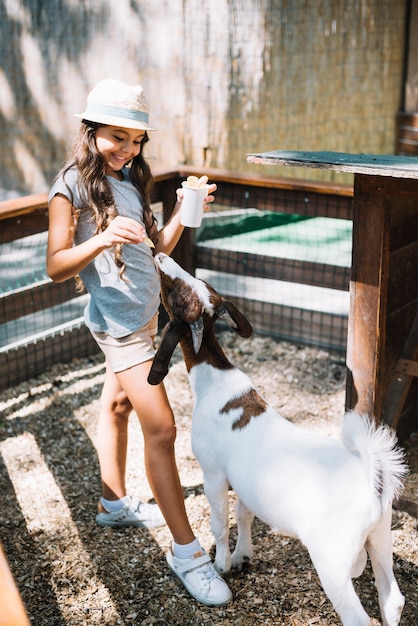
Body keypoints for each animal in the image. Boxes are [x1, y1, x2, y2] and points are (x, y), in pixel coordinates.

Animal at [149, 251, 406, 620]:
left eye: (174, 291)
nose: (159, 255)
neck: (216, 382)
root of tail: (370, 475)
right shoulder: (244, 482)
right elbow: (243, 513)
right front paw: (242, 557)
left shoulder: (212, 472)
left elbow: (219, 521)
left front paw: (223, 564)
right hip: (381, 533)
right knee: (393, 598)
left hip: (331, 557)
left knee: (356, 615)